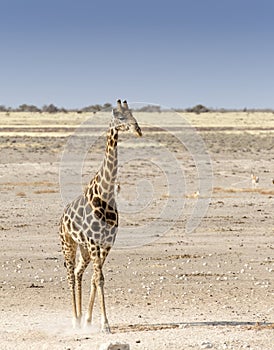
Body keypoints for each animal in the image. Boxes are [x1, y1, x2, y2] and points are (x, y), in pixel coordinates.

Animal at [59, 100, 142, 332]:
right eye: (120, 117)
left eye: (133, 114)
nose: (138, 129)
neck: (105, 195)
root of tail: (61, 218)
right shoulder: (96, 243)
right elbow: (100, 278)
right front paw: (105, 324)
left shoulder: (106, 243)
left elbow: (98, 279)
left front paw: (91, 320)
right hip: (68, 243)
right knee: (70, 274)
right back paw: (73, 319)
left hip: (84, 249)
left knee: (79, 272)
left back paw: (81, 319)